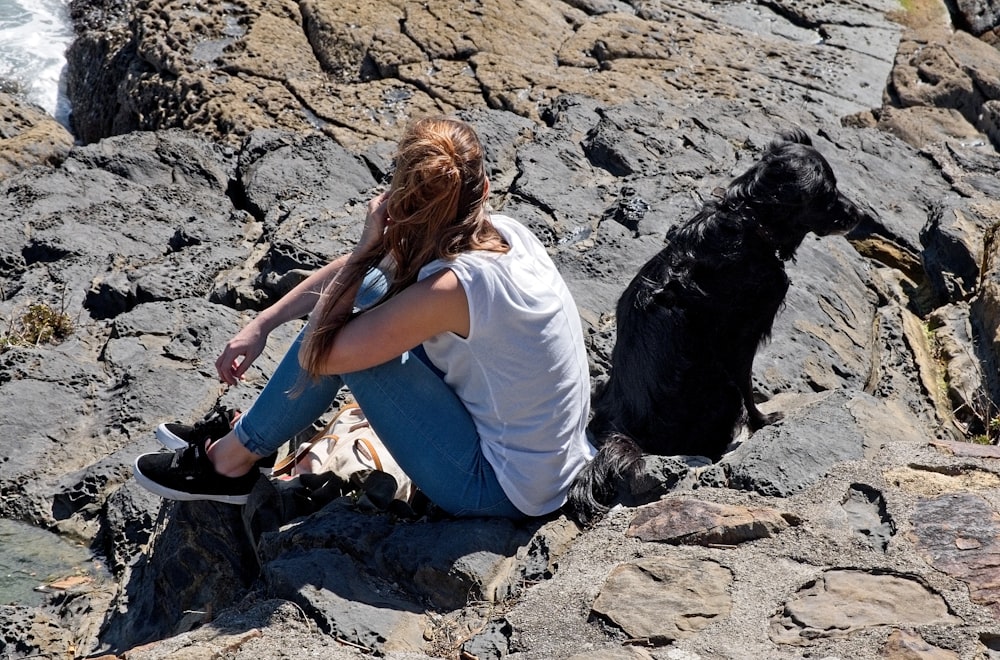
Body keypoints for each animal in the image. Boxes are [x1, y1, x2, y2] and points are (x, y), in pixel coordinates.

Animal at [572, 129, 876, 524]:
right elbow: (747, 387)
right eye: (827, 194)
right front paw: (764, 420)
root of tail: (623, 431)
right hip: (720, 389)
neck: (749, 222)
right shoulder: (740, 338)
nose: (859, 214)